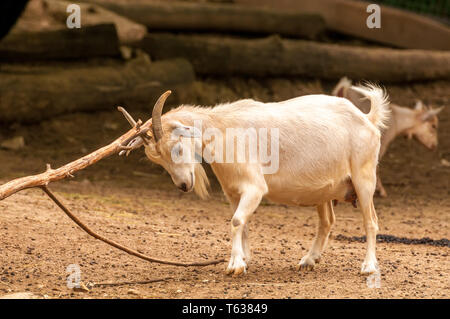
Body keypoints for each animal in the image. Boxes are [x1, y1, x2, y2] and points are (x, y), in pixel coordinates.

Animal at [126, 86, 390, 276]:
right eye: (158, 160)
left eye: (178, 149)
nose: (183, 185)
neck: (224, 129)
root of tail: (367, 118)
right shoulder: (233, 192)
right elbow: (242, 224)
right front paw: (244, 259)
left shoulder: (254, 188)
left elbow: (236, 221)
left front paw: (235, 266)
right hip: (323, 191)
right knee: (327, 222)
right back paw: (308, 260)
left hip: (364, 179)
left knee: (371, 222)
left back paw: (368, 267)